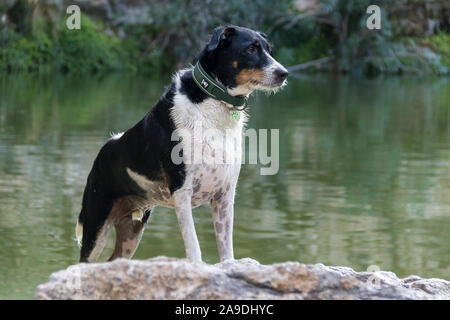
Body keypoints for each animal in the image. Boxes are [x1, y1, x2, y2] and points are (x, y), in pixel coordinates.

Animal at [76, 25, 288, 262]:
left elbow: (226, 248)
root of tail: (102, 151)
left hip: (131, 230)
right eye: (251, 48)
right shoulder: (182, 192)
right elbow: (193, 246)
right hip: (96, 226)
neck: (214, 103)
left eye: (269, 49)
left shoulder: (224, 196)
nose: (284, 73)